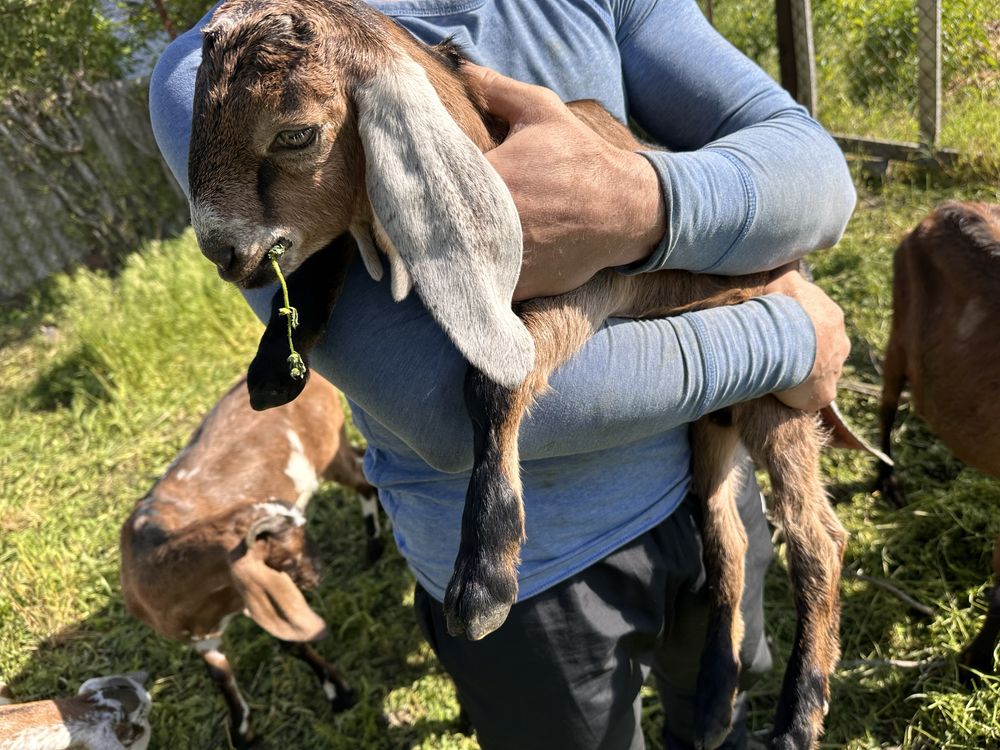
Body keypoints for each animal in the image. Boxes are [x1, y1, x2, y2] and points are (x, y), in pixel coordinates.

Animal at [120, 376, 376, 750]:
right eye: (289, 545)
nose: (318, 572)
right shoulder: (202, 633)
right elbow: (219, 673)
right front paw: (242, 730)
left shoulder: (253, 599)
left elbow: (291, 642)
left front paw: (339, 693)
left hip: (329, 450)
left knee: (363, 479)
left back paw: (374, 548)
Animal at [186, 2, 852, 748]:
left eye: (294, 133)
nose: (222, 252)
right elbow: (324, 255)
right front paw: (275, 364)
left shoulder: (593, 276)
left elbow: (491, 381)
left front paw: (484, 579)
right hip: (711, 427)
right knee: (726, 537)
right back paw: (712, 699)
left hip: (777, 406)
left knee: (816, 541)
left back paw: (799, 713)